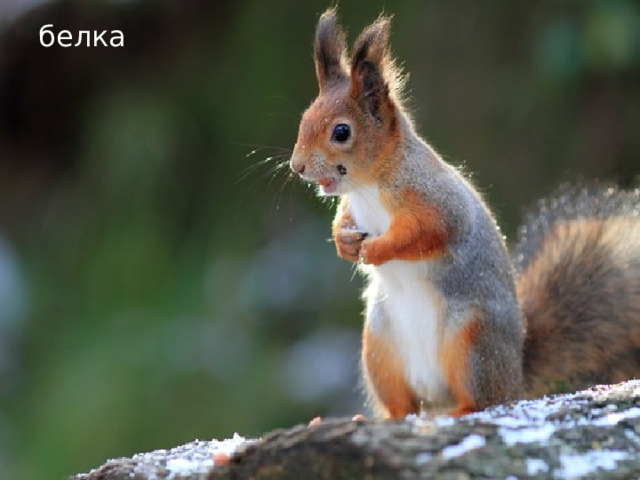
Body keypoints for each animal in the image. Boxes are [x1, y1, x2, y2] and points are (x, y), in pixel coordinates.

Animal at [289, 8, 640, 418]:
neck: (369, 187)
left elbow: (425, 233)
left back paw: (462, 410)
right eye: (304, 118)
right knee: (403, 404)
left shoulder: (436, 202)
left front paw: (376, 250)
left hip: (470, 342)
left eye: (341, 132)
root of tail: (515, 375)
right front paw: (344, 242)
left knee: (483, 399)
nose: (297, 166)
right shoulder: (353, 207)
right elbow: (343, 220)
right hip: (380, 346)